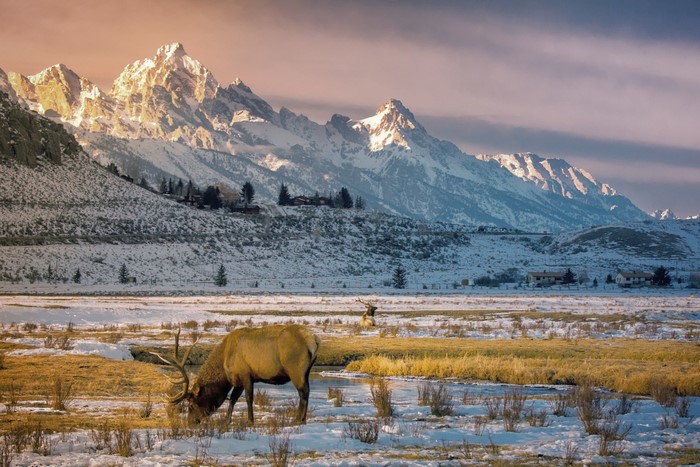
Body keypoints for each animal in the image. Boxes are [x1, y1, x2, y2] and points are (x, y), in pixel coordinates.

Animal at [152, 324, 320, 426]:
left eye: (191, 404)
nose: (190, 423)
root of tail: (314, 340)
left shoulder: (246, 374)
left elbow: (248, 398)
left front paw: (250, 421)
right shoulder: (238, 380)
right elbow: (232, 399)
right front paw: (227, 420)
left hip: (295, 369)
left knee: (303, 392)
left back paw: (298, 419)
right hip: (307, 371)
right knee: (306, 391)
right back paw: (301, 418)